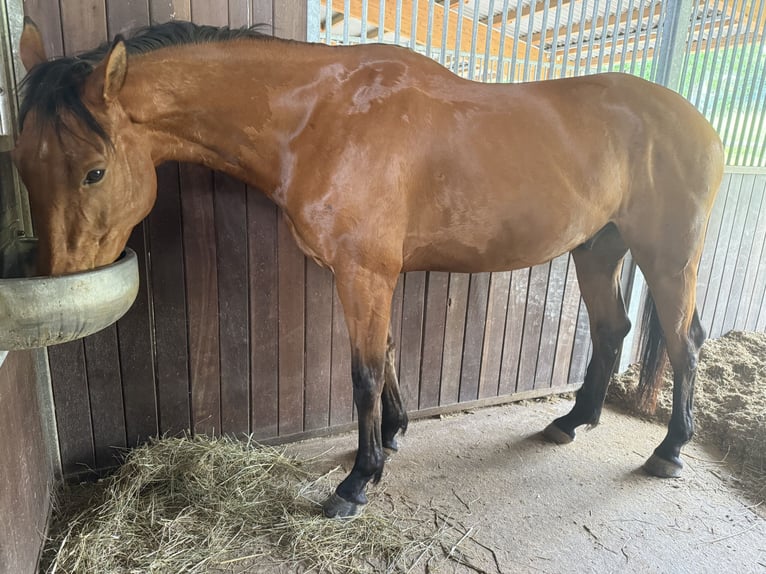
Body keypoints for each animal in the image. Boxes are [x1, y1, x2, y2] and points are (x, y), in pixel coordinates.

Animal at [13, 19, 723, 518]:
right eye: (21, 161)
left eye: (93, 171)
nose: (57, 276)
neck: (322, 118)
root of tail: (696, 119)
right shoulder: (372, 276)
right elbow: (387, 355)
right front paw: (395, 435)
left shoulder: (364, 274)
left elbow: (364, 373)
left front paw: (357, 480)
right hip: (597, 249)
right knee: (611, 330)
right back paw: (573, 423)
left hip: (668, 258)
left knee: (685, 342)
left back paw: (669, 452)